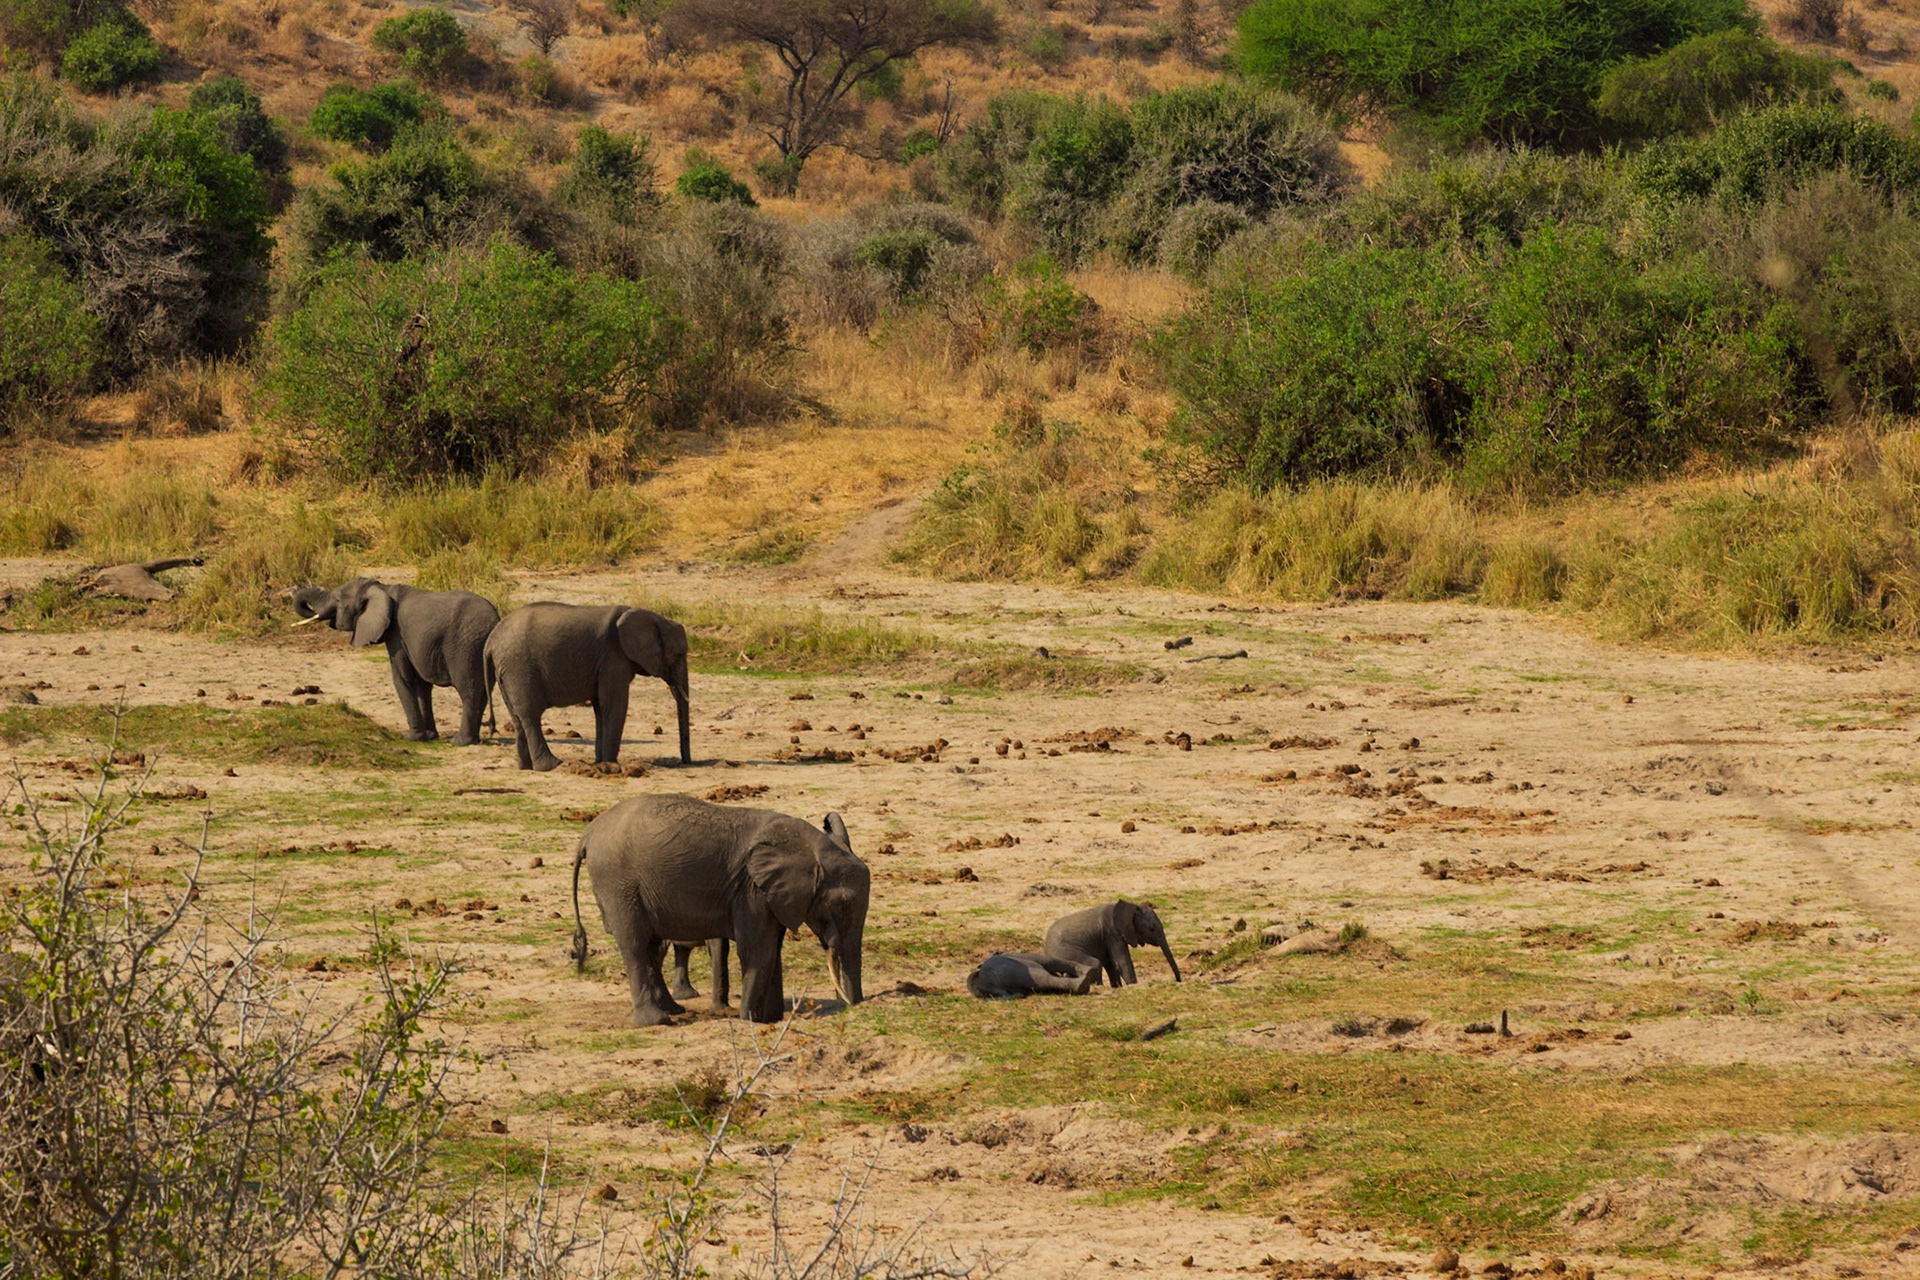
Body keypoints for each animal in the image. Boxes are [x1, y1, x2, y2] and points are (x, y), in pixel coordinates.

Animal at [292, 578, 499, 744]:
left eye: (337, 600)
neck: (382, 588)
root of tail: (495, 618)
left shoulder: (396, 635)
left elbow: (402, 678)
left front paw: (412, 738)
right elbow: (422, 685)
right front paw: (430, 737)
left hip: (465, 646)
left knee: (468, 691)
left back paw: (460, 742)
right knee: (482, 693)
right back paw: (474, 740)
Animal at [483, 602, 691, 772]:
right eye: (679, 654)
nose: (687, 762)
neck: (655, 618)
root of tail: (490, 641)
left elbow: (600, 708)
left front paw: (601, 763)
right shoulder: (614, 657)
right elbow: (614, 705)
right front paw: (611, 765)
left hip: (506, 671)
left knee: (517, 717)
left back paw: (525, 767)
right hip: (519, 667)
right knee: (530, 716)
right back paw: (552, 765)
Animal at [570, 797, 869, 1025]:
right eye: (841, 904)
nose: (851, 1006)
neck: (809, 845)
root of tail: (588, 834)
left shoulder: (769, 894)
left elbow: (773, 948)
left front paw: (769, 1019)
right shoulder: (750, 889)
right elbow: (758, 949)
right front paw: (750, 1020)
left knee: (650, 946)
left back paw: (673, 1010)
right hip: (618, 884)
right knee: (635, 944)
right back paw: (656, 1020)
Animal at [1043, 899, 1182, 987]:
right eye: (1152, 929)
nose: (1178, 981)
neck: (1131, 907)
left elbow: (1111, 964)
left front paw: (1118, 987)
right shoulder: (1112, 932)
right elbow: (1122, 962)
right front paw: (1133, 985)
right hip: (1066, 953)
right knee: (1095, 963)